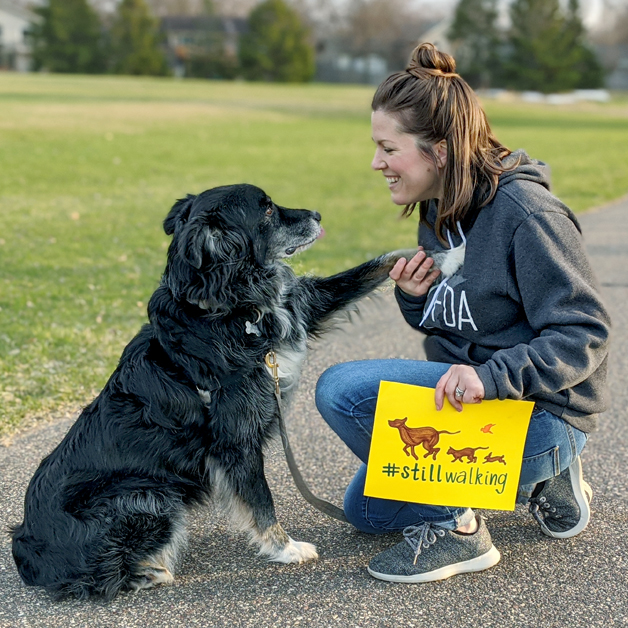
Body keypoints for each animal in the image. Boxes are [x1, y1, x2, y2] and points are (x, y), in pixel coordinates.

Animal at [9, 184, 432, 600]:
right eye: (266, 210)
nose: (317, 214)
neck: (231, 308)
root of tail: (26, 550)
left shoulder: (301, 305)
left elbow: (363, 271)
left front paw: (427, 256)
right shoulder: (236, 440)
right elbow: (261, 501)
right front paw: (286, 548)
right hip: (146, 496)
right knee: (99, 578)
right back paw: (150, 571)